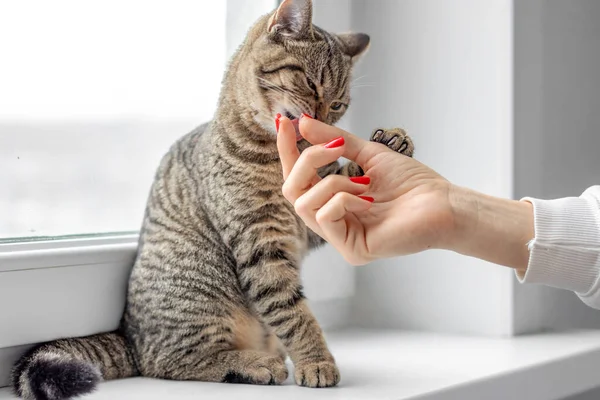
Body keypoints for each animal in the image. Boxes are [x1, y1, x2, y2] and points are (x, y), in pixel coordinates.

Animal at [10, 0, 412, 396]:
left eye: (339, 105)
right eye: (312, 84)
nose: (323, 121)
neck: (280, 159)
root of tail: (129, 335)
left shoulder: (308, 219)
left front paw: (392, 142)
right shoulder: (260, 241)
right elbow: (293, 313)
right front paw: (316, 361)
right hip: (199, 288)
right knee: (170, 362)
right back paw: (255, 364)